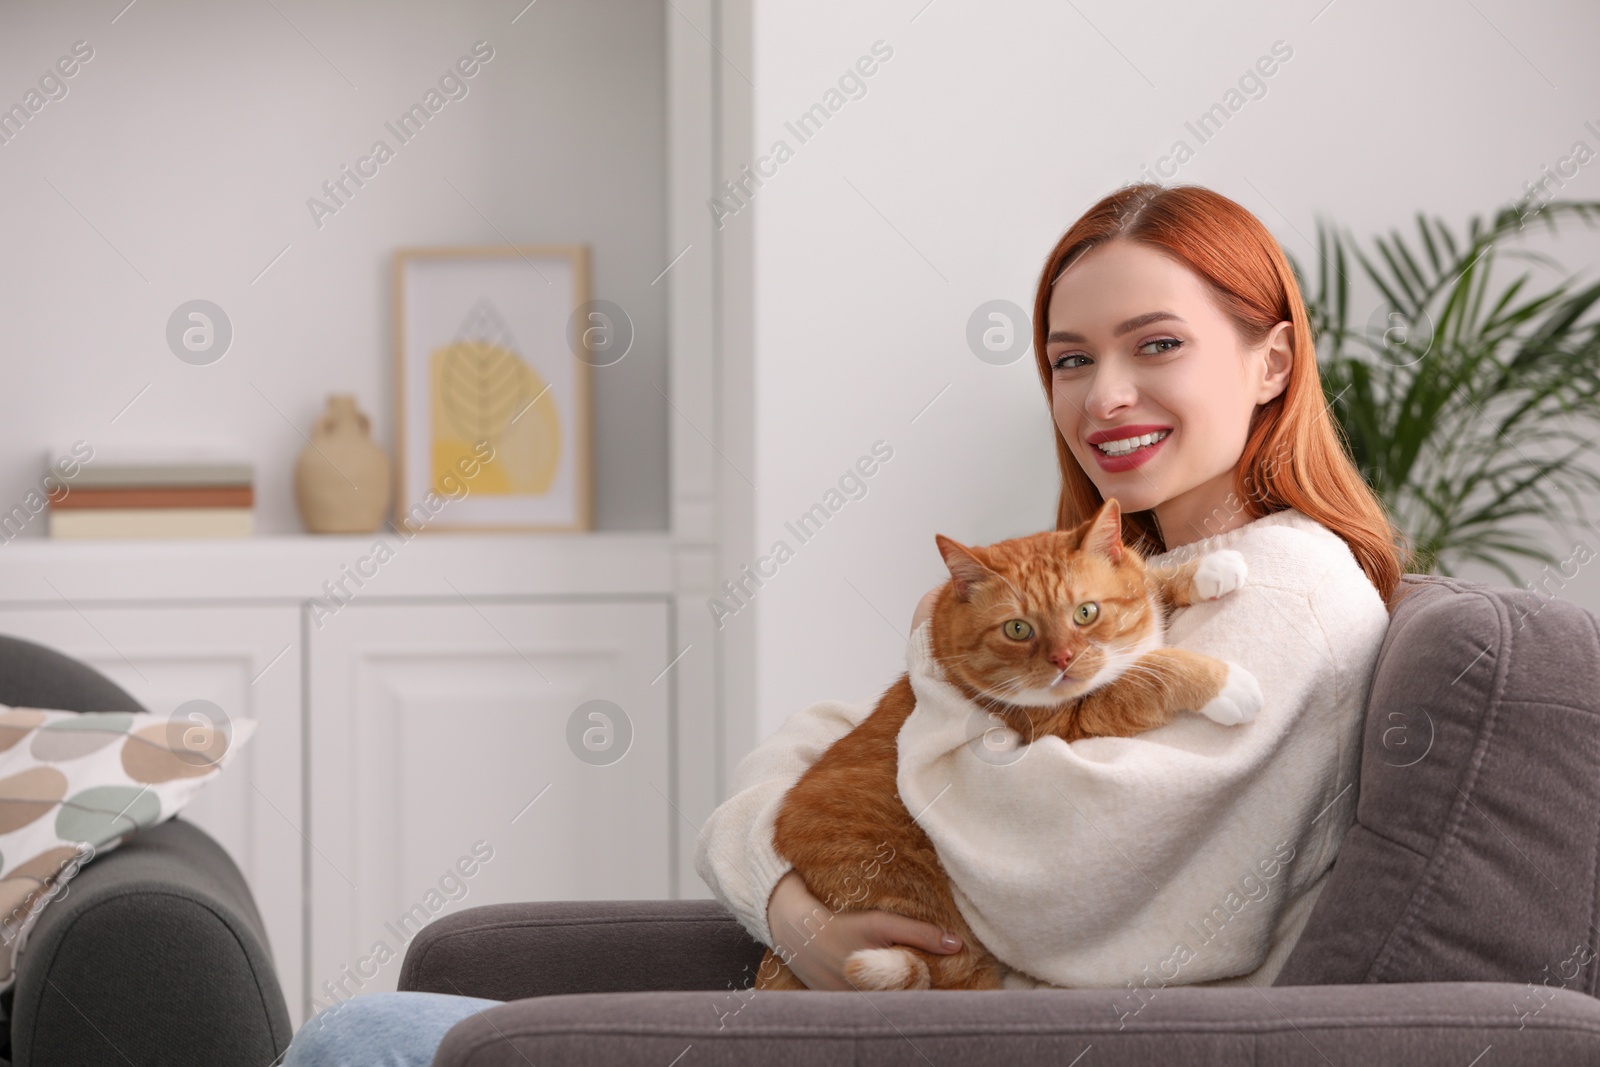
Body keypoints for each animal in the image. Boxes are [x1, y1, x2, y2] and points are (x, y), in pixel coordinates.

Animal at [755, 499, 1267, 991]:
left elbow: (1150, 579)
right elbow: (1149, 673)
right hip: (941, 931)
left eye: (1086, 612)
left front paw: (1209, 568)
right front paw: (1223, 684)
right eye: (1018, 629)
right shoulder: (1068, 722)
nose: (1063, 659)